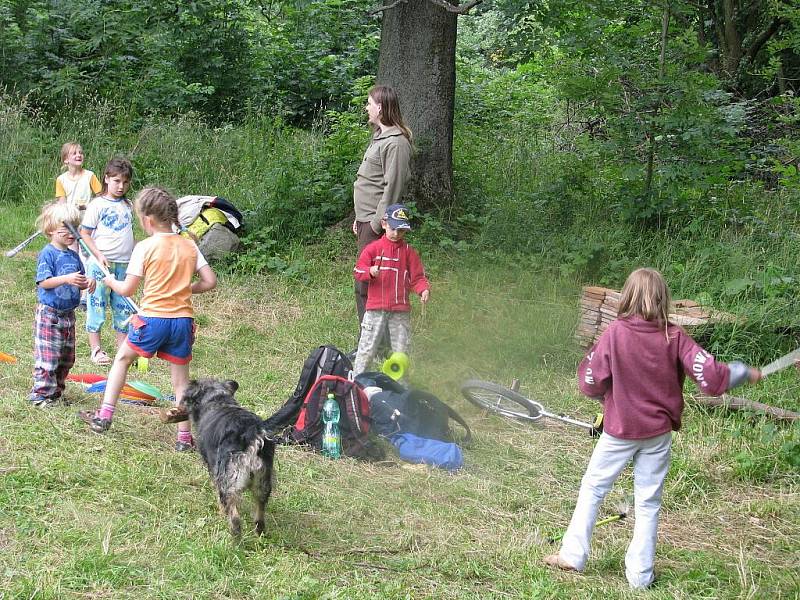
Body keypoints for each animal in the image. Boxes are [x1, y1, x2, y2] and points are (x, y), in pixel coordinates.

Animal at [184, 378, 276, 536]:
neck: (218, 399)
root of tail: (252, 436)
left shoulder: (214, 469)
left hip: (229, 482)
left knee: (235, 518)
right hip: (263, 482)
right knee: (260, 514)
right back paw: (259, 533)